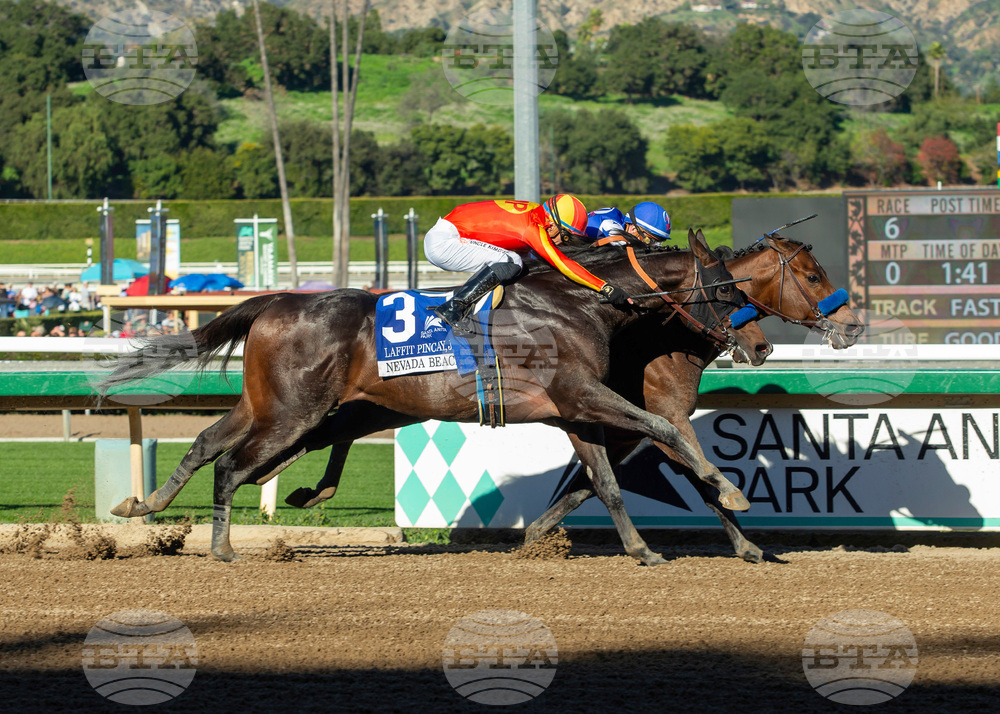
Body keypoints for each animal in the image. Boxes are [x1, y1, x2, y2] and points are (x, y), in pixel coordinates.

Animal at [101, 231, 772, 566]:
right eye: (726, 289)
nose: (758, 344)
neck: (582, 300)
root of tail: (275, 299)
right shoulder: (582, 392)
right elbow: (665, 429)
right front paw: (730, 489)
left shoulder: (576, 409)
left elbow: (606, 480)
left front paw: (641, 548)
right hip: (294, 410)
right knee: (232, 465)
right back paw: (221, 548)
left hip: (266, 404)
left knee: (207, 444)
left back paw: (146, 505)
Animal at [523, 228, 865, 562]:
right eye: (813, 277)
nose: (854, 327)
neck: (665, 336)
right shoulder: (665, 417)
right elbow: (704, 478)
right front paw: (744, 538)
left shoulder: (626, 431)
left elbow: (584, 486)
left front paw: (534, 538)